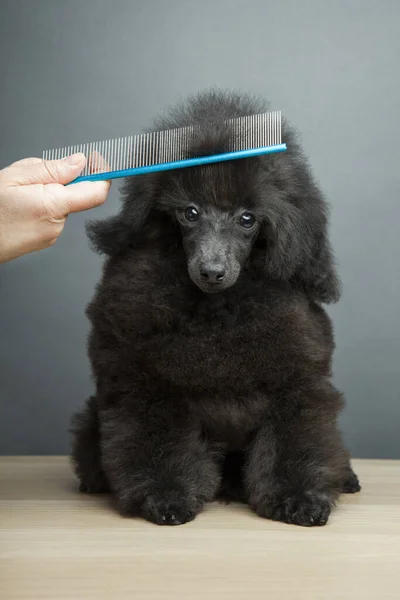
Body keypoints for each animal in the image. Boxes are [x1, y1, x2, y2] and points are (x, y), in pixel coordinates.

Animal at [70, 89, 360, 524]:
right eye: (189, 212)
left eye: (247, 219)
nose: (211, 271)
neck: (219, 309)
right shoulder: (146, 382)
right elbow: (155, 438)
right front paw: (165, 496)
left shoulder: (296, 381)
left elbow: (298, 436)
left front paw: (300, 497)